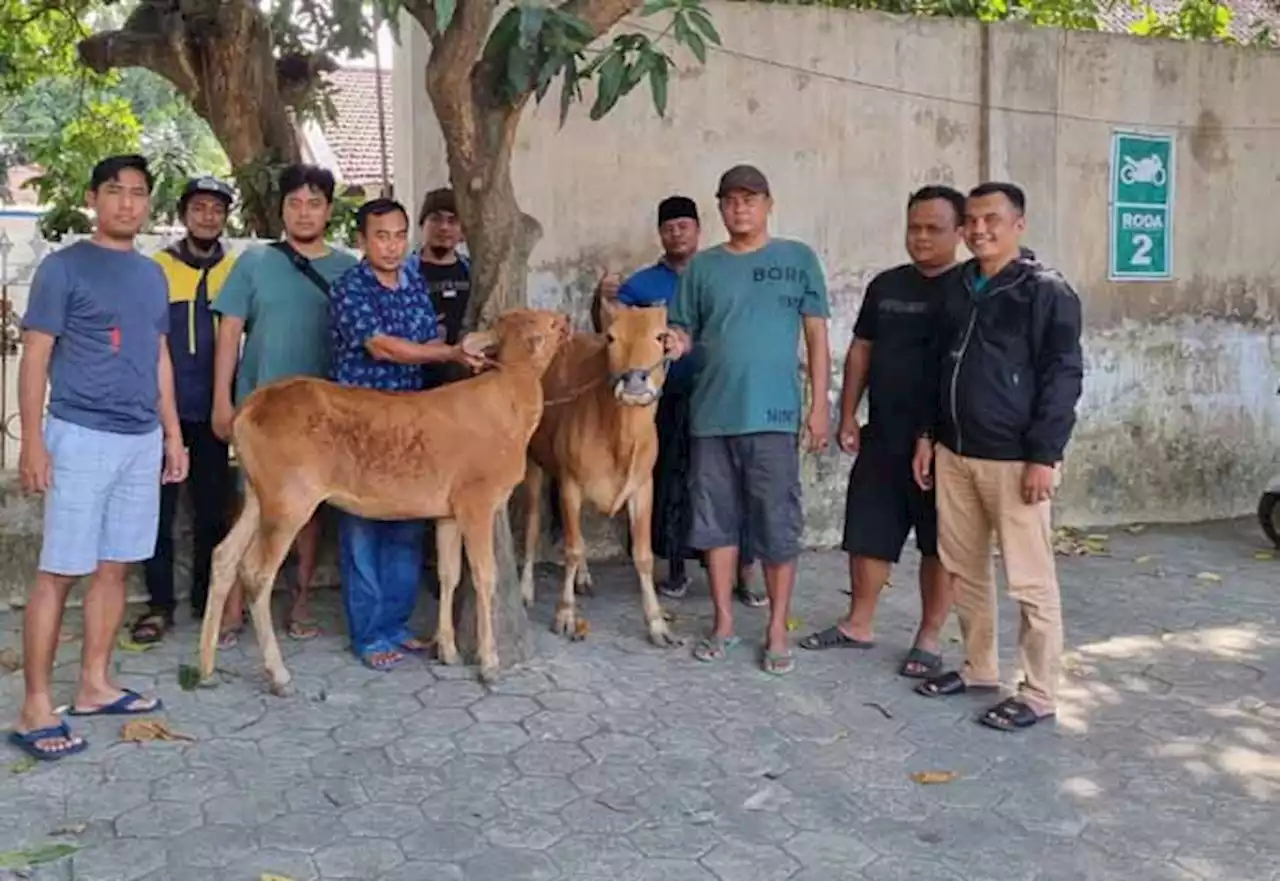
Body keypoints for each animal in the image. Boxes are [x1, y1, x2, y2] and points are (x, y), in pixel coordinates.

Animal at [197, 309, 568, 686]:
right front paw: (489, 663)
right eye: (547, 322)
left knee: (224, 556)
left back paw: (205, 666)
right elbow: (484, 577)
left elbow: (449, 574)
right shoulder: (477, 500)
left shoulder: (448, 510)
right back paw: (278, 674)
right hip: (289, 500)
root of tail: (247, 408)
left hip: (260, 496)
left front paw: (447, 651)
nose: (566, 319)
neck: (514, 403)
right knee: (256, 572)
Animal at [519, 304, 680, 647]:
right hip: (532, 463)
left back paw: (584, 577)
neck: (620, 436)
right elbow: (572, 547)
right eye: (611, 337)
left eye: (661, 337)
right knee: (533, 524)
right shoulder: (569, 484)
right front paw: (565, 615)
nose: (634, 381)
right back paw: (526, 590)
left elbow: (643, 555)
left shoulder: (643, 486)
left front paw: (657, 623)